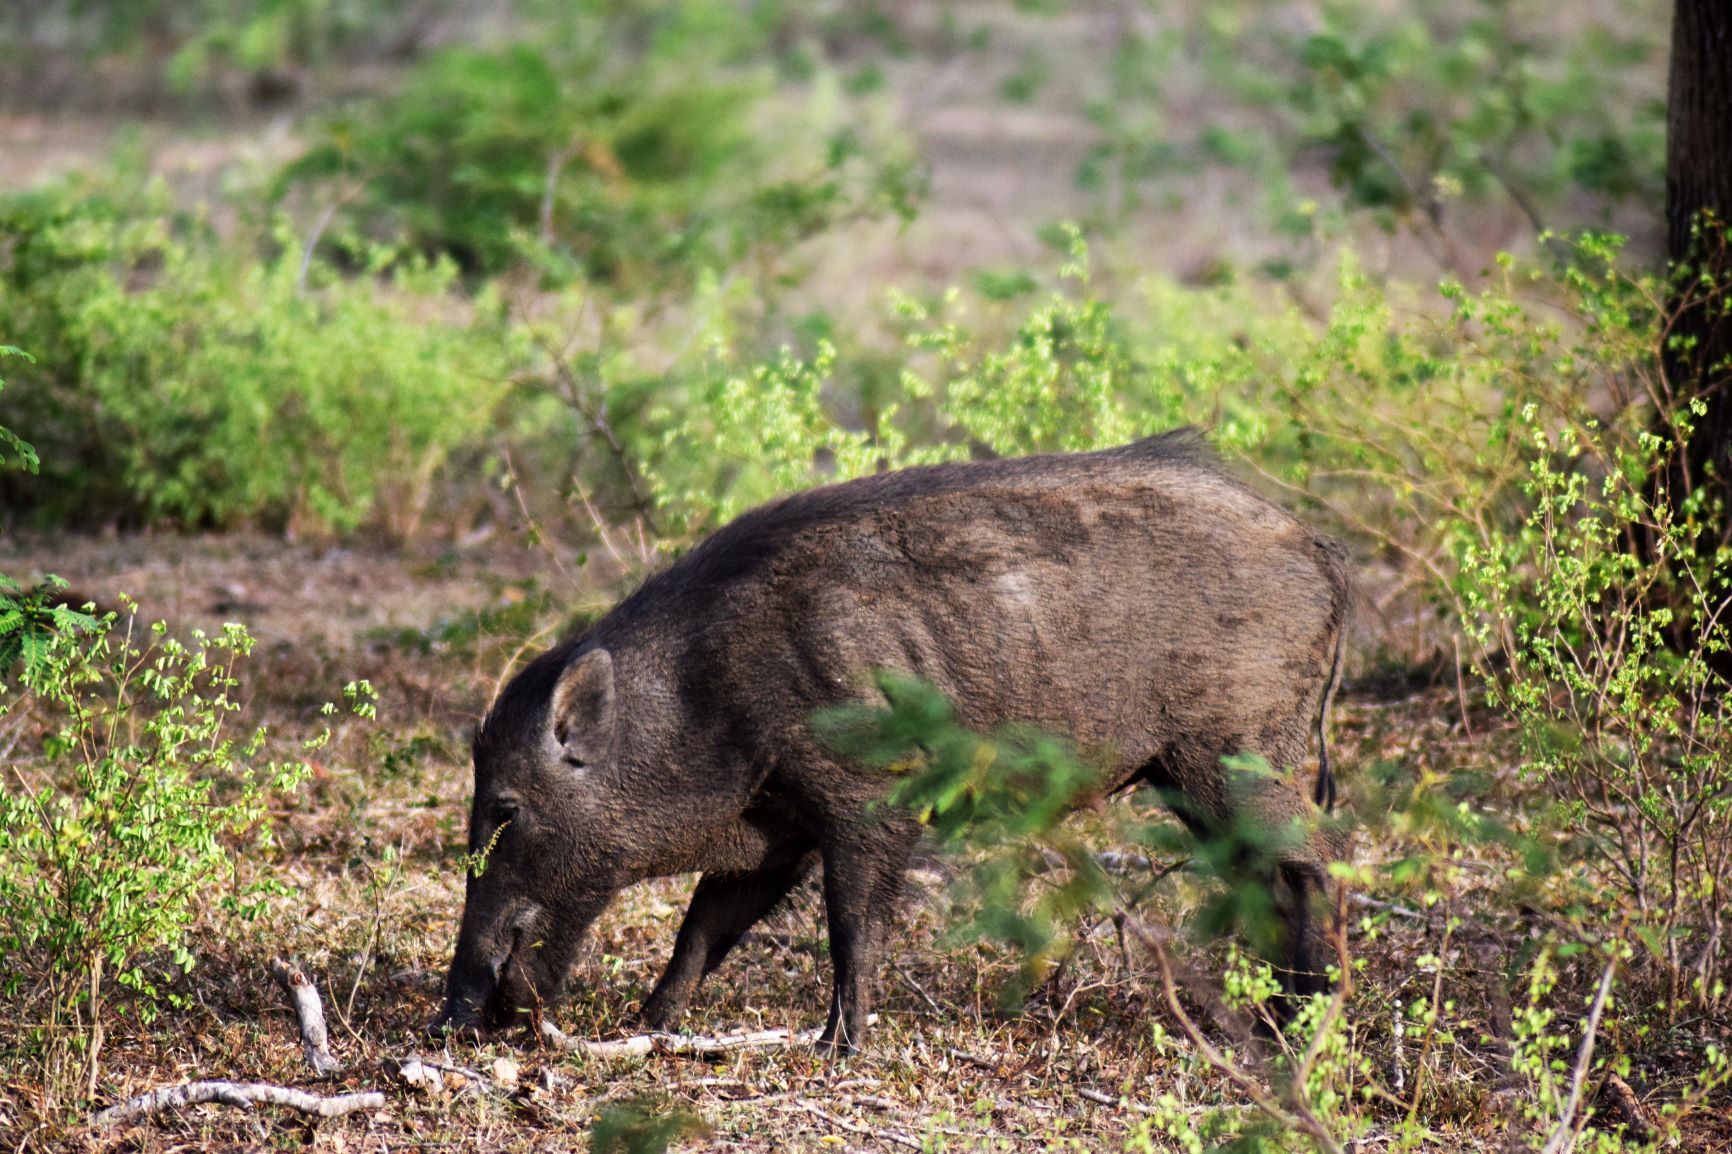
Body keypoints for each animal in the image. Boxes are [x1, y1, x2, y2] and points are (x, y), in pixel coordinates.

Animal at [430, 429, 1352, 1054]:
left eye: (505, 807)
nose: (451, 1018)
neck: (709, 692)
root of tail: (1320, 545)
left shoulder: (869, 801)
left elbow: (851, 925)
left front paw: (838, 1048)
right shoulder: (774, 831)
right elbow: (704, 928)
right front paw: (648, 1027)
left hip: (1236, 750)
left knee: (1316, 866)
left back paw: (1301, 1028)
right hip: (1190, 773)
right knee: (1270, 879)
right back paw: (1269, 1027)